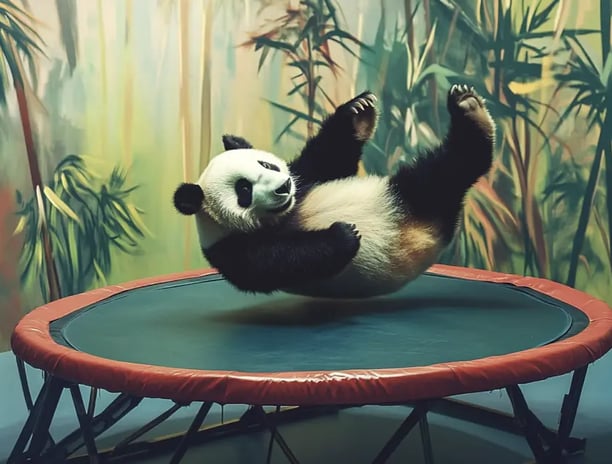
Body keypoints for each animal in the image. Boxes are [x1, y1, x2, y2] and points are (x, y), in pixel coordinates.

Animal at [173, 84, 498, 300]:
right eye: (244, 189)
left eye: (266, 164)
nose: (283, 187)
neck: (283, 215)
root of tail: (436, 231)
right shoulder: (233, 252)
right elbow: (284, 260)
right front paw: (344, 234)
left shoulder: (304, 180)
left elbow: (328, 158)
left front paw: (358, 111)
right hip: (408, 196)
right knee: (448, 170)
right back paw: (470, 117)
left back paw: (467, 105)